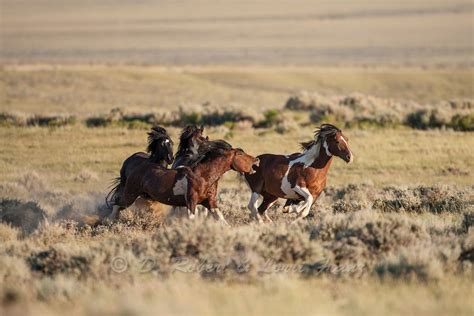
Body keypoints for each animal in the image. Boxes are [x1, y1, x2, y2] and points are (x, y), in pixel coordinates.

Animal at [113, 140, 260, 225]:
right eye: (240, 154)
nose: (257, 160)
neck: (203, 176)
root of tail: (134, 168)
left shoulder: (210, 202)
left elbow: (221, 219)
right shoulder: (191, 201)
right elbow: (192, 219)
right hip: (130, 195)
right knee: (117, 204)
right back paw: (111, 222)